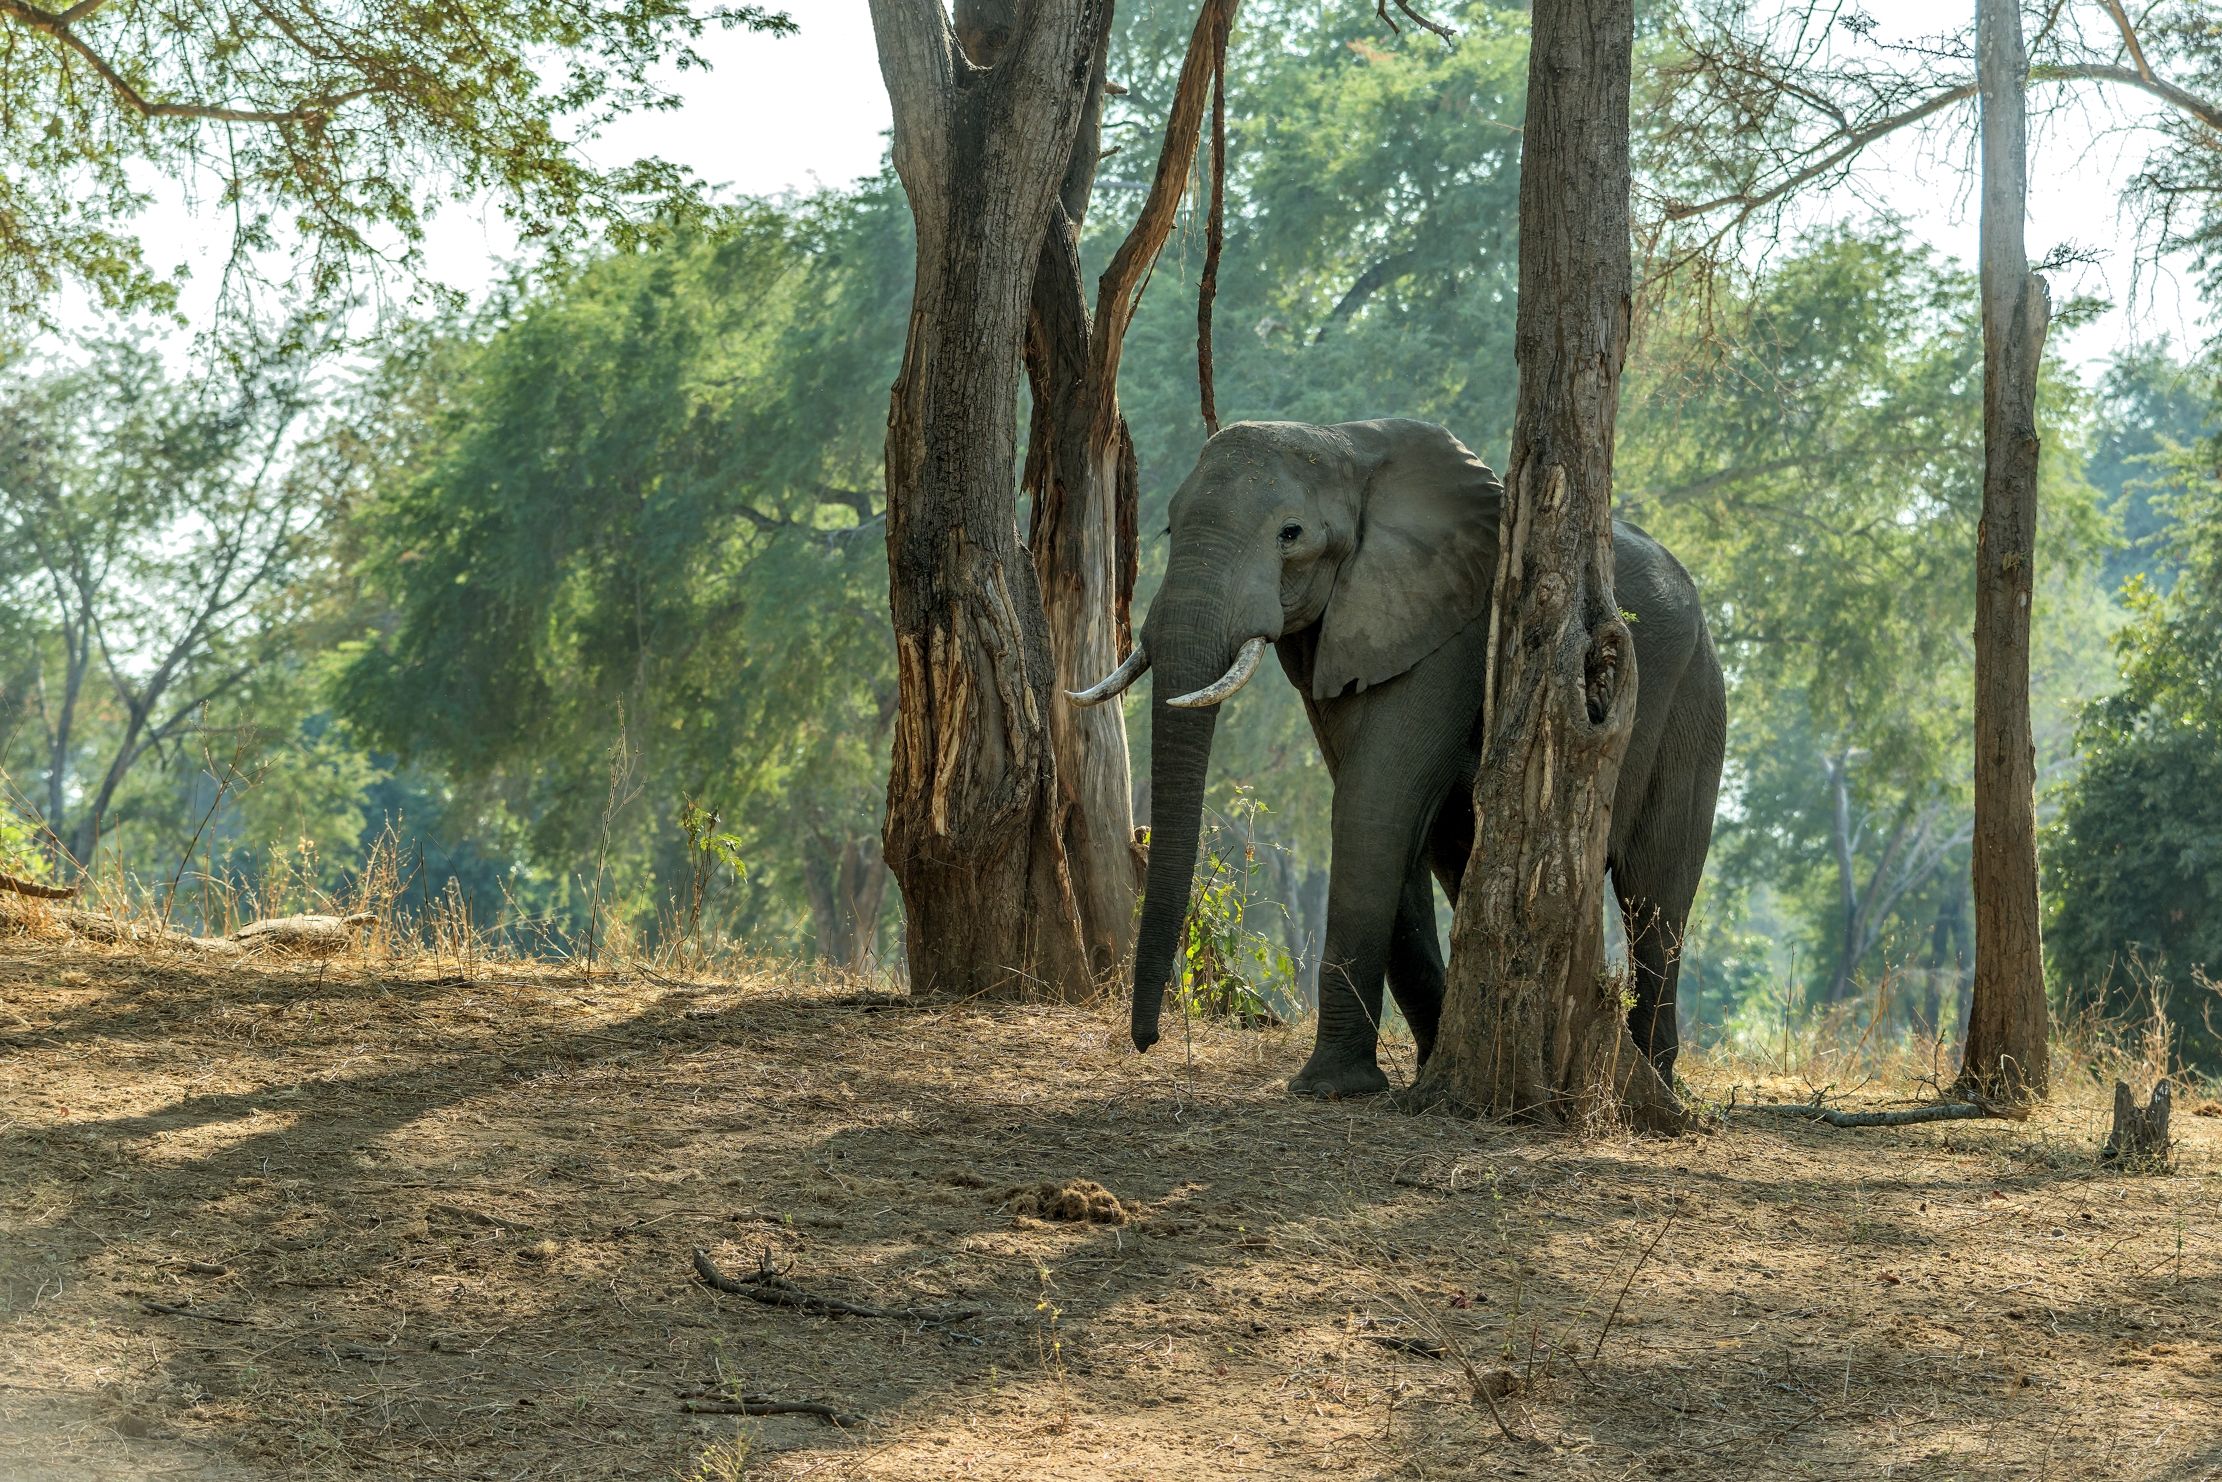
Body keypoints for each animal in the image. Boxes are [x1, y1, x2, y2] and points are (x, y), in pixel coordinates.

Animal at [1069, 418, 1726, 1098]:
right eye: (1170, 527)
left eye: (1290, 534)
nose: (1146, 1042)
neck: (1344, 445)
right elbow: (1392, 822)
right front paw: (1413, 1073)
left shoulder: (1453, 628)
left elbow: (1373, 802)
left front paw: (1331, 1089)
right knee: (1461, 864)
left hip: (1694, 700)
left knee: (1656, 894)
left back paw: (1656, 1078)